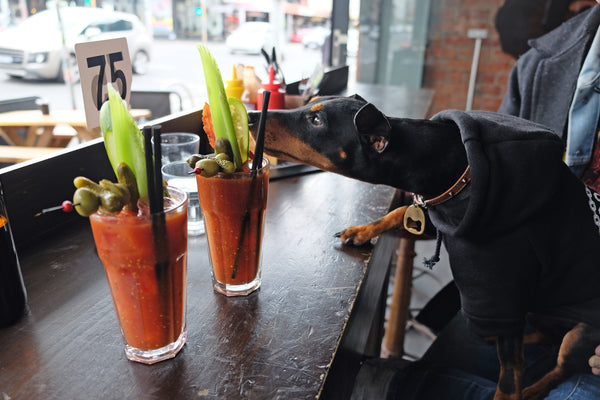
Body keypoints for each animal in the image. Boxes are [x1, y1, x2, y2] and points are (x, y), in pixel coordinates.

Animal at [247, 94, 600, 400]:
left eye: (317, 120)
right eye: (309, 105)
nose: (250, 116)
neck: (457, 170)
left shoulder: (501, 293)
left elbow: (509, 377)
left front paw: (511, 389)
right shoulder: (436, 212)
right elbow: (400, 211)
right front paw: (362, 231)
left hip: (581, 333)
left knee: (562, 363)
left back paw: (532, 386)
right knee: (545, 335)